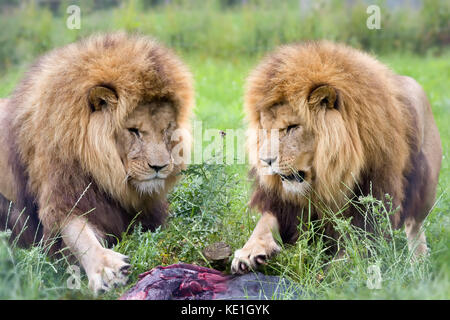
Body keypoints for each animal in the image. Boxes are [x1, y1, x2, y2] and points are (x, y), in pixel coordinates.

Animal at [0, 32, 192, 292]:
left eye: (167, 129)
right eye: (134, 131)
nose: (159, 167)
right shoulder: (63, 192)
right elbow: (77, 233)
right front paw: (105, 267)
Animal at [232, 40, 442, 276]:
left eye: (292, 127)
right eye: (265, 129)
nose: (266, 161)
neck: (326, 179)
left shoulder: (374, 193)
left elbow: (357, 244)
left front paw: (334, 271)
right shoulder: (286, 204)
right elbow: (264, 222)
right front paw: (249, 251)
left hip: (426, 186)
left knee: (415, 225)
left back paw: (418, 265)